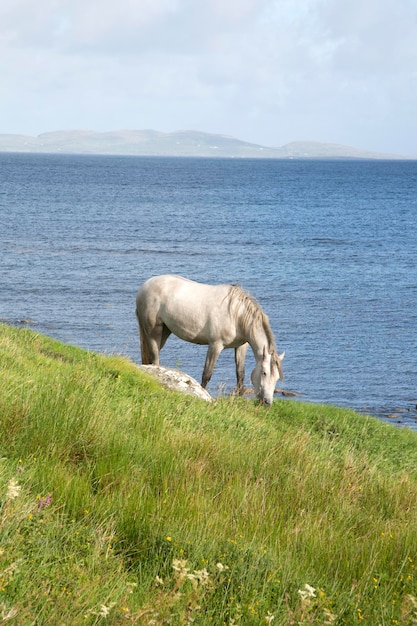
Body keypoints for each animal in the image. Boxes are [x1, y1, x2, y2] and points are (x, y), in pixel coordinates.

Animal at [135, 274, 284, 404]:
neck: (236, 315)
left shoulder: (241, 346)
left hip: (165, 332)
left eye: (277, 377)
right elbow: (207, 374)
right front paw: (202, 394)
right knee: (155, 359)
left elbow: (240, 374)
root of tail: (144, 286)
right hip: (154, 332)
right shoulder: (215, 345)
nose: (267, 402)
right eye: (264, 373)